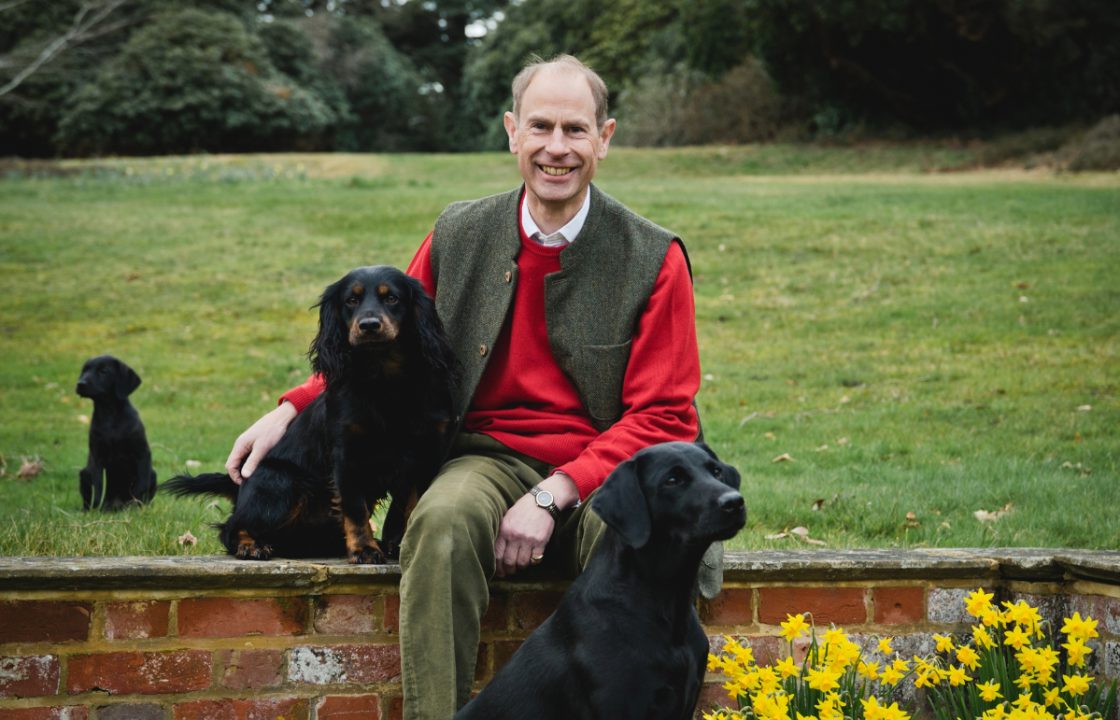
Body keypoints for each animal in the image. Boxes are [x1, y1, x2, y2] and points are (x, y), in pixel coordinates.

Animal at [75, 353, 156, 512]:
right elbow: (98, 487)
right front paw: (98, 509)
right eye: (85, 370)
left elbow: (141, 485)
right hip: (84, 473)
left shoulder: (142, 453)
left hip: (153, 474)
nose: (80, 384)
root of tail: (117, 504)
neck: (109, 414)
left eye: (103, 371)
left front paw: (137, 507)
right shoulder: (96, 457)